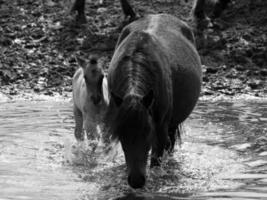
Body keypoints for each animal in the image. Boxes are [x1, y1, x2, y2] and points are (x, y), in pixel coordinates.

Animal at [104, 13, 203, 188]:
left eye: (147, 131)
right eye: (120, 133)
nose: (136, 181)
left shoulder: (160, 130)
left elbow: (157, 159)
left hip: (172, 124)